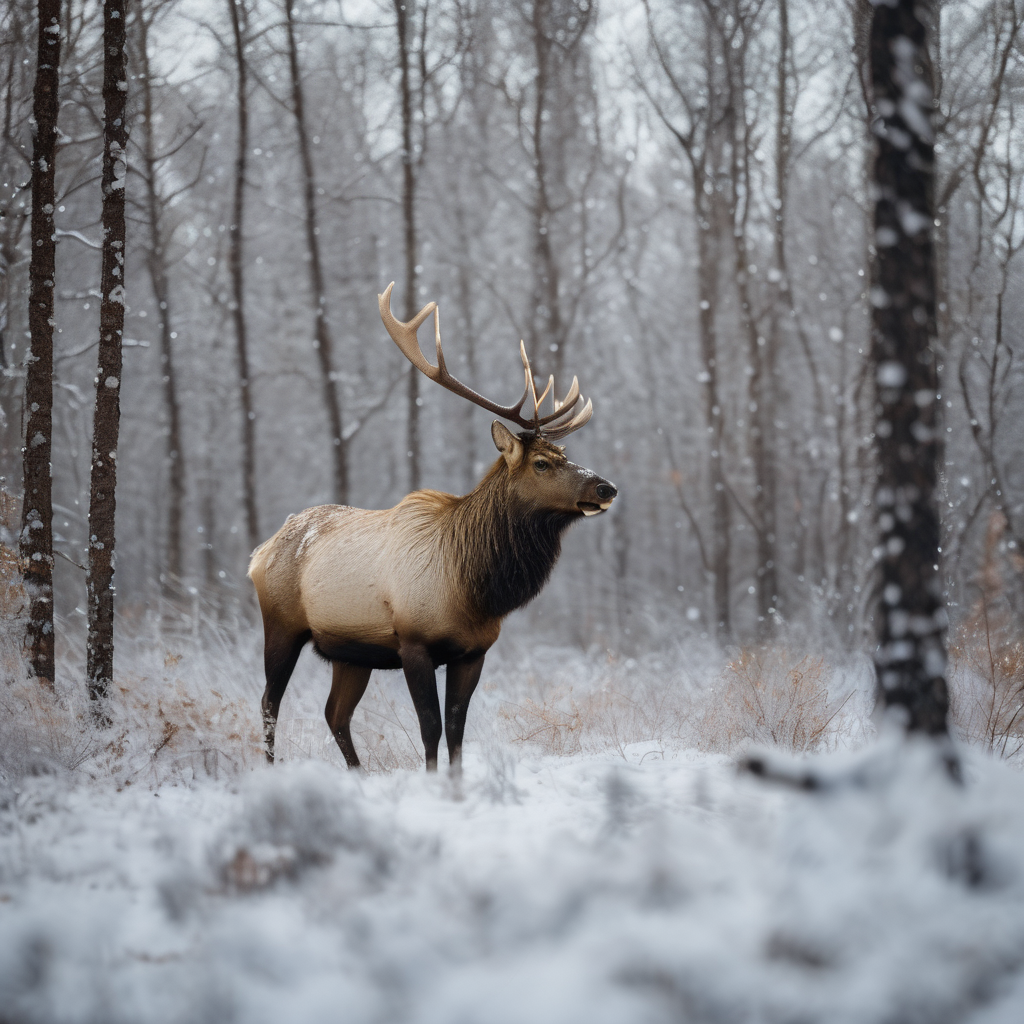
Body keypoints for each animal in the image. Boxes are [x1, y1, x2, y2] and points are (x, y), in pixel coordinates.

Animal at [248, 283, 617, 771]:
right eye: (541, 462)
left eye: (565, 455)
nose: (606, 487)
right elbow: (431, 728)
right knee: (269, 703)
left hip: (351, 652)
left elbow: (458, 731)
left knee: (335, 713)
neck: (474, 588)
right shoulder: (414, 644)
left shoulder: (474, 652)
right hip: (281, 625)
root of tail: (260, 552)